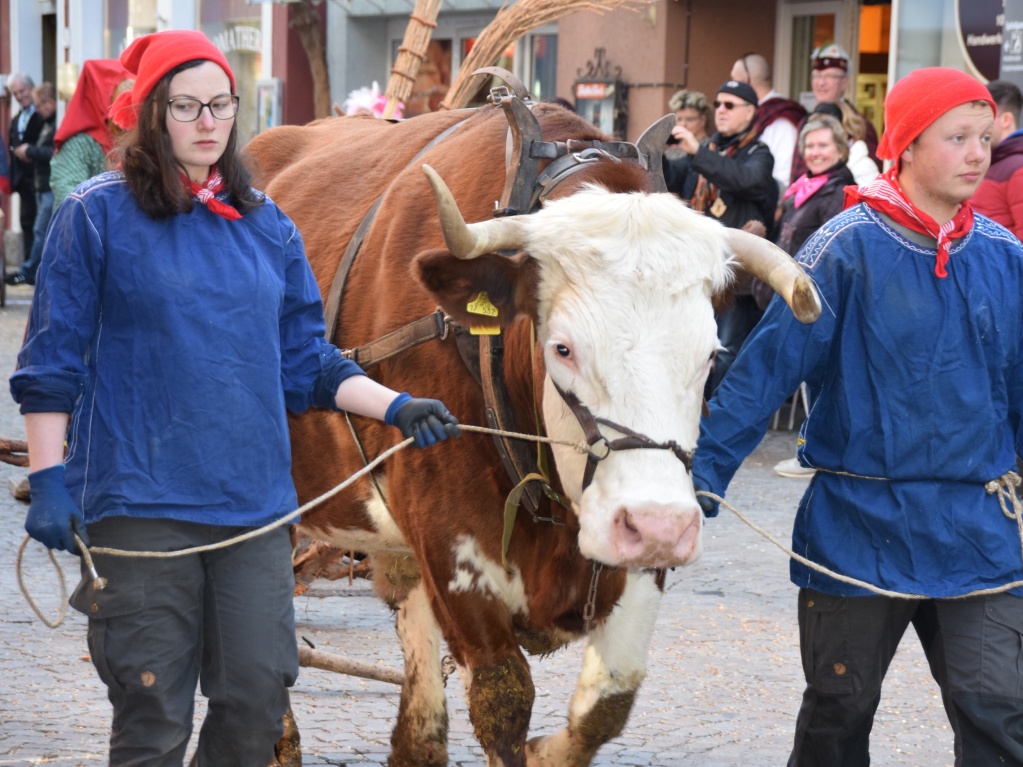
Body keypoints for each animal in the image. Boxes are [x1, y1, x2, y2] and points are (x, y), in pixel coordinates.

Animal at [245, 103, 814, 767]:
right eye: (562, 348)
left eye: (711, 353)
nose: (658, 527)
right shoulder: (449, 545)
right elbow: (504, 696)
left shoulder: (636, 560)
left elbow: (609, 701)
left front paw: (549, 750)